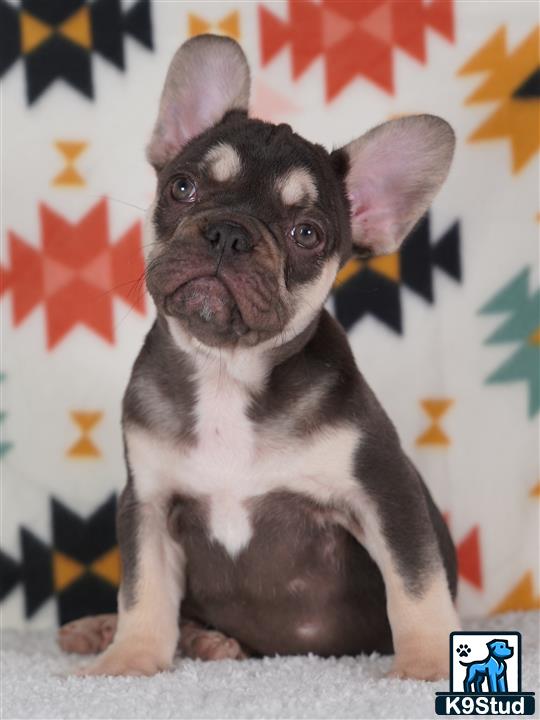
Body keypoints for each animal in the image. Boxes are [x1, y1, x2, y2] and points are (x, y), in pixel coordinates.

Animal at [58, 33, 460, 676]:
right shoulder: (147, 501)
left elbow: (416, 584)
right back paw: (132, 632)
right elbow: (142, 590)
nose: (229, 232)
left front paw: (426, 667)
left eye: (308, 234)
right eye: (182, 187)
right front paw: (129, 660)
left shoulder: (384, 491)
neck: (226, 371)